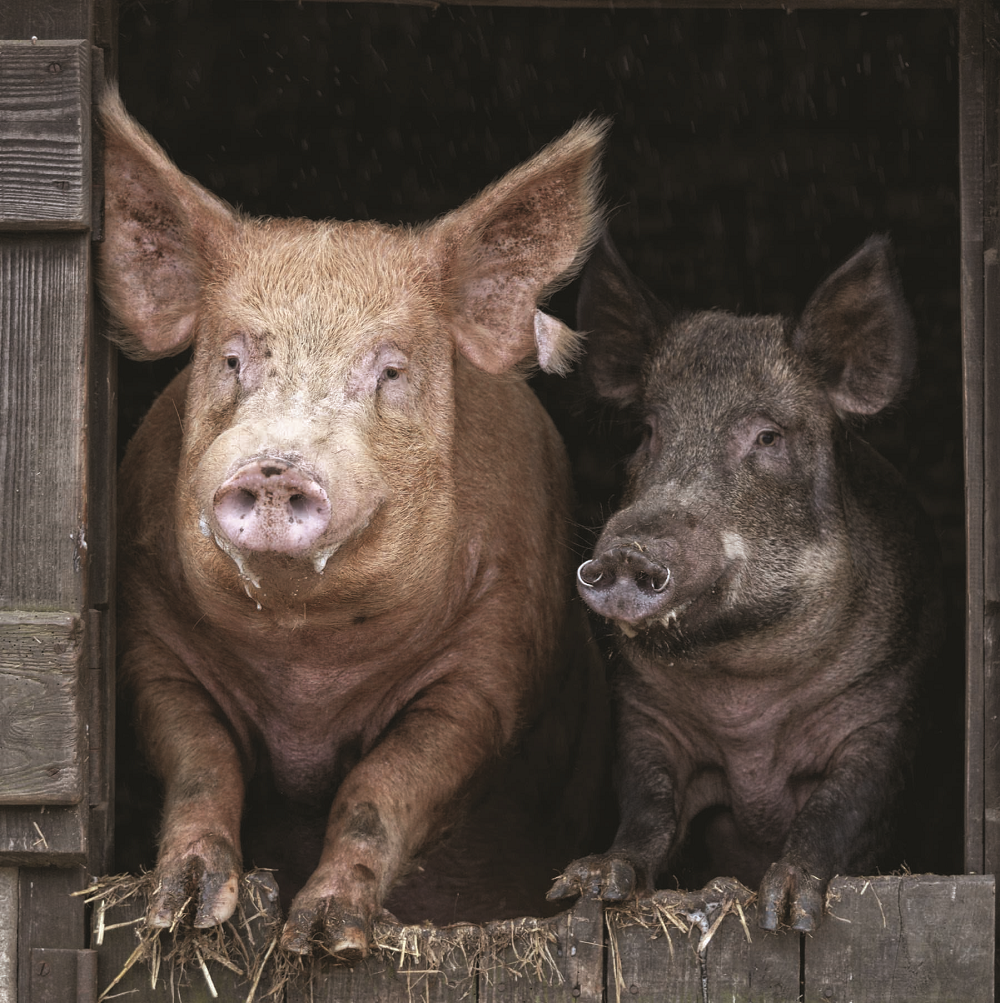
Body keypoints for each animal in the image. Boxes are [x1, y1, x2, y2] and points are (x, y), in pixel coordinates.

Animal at [98, 88, 613, 957]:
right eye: (231, 359)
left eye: (393, 370)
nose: (275, 467)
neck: (307, 663)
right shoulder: (151, 641)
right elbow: (202, 763)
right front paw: (185, 911)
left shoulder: (491, 666)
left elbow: (383, 785)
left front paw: (325, 938)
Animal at [547, 232, 943, 932]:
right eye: (648, 431)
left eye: (768, 436)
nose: (627, 550)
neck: (745, 697)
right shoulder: (647, 718)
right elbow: (647, 805)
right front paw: (587, 883)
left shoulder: (882, 716)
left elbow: (836, 810)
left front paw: (787, 908)